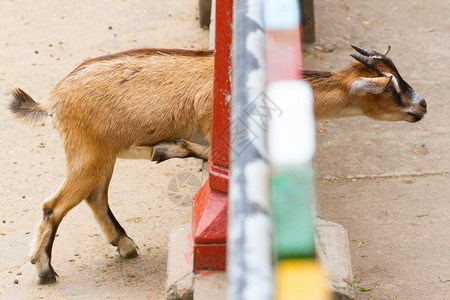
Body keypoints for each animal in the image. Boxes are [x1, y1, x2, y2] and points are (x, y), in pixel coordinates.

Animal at [9, 44, 426, 284]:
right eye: (390, 86)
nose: (421, 105)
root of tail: (53, 98)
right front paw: (168, 149)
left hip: (101, 154)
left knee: (95, 197)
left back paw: (125, 244)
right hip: (88, 151)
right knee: (53, 205)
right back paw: (45, 271)